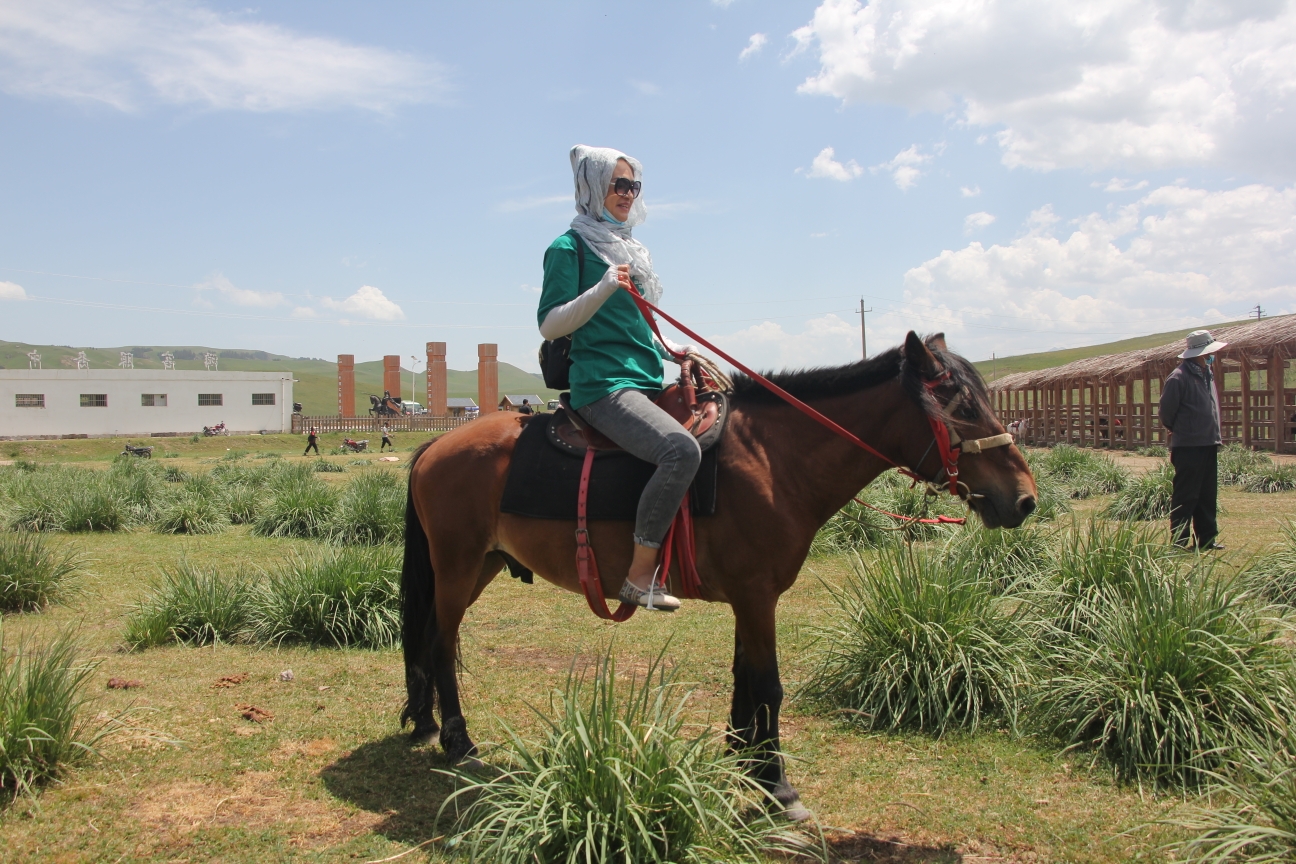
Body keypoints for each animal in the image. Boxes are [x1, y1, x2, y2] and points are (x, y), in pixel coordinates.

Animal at [399, 331, 1036, 818]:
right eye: (962, 408)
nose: (1025, 500)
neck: (775, 460)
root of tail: (435, 446)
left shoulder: (750, 598)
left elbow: (743, 679)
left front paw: (745, 759)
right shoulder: (757, 597)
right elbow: (769, 685)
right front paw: (779, 785)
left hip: (479, 565)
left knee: (430, 640)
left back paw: (427, 724)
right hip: (457, 566)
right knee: (442, 642)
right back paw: (458, 740)